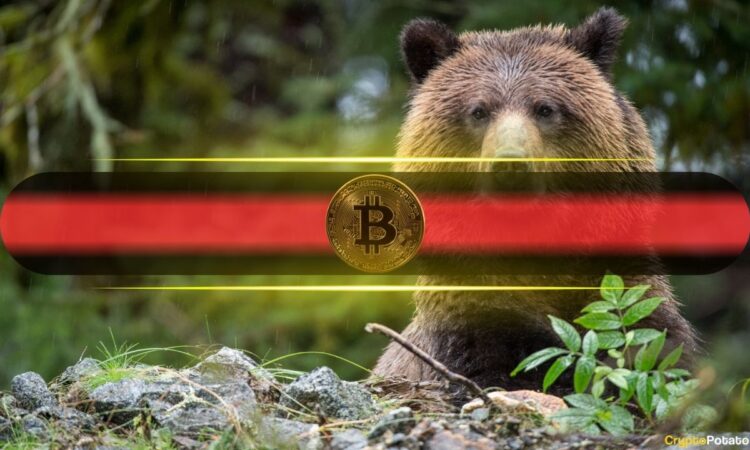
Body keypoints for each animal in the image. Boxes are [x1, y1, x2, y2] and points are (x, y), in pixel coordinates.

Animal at [373, 8, 699, 395]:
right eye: (478, 111)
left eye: (545, 108)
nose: (511, 164)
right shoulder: (469, 313)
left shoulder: (622, 286)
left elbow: (655, 345)